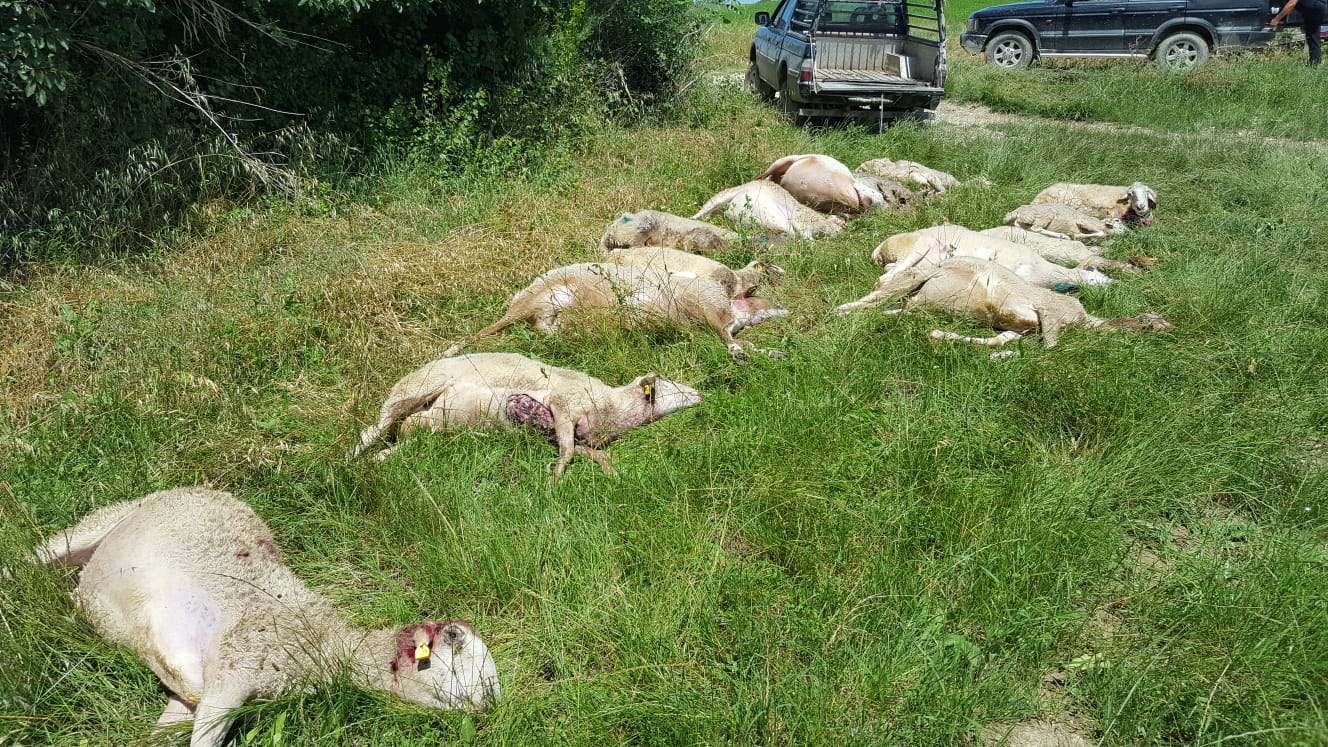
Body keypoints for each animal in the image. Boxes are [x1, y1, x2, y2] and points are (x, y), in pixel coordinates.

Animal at [36, 487, 499, 747]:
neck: (324, 644)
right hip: (100, 523)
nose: (455, 629)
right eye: (460, 648)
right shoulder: (237, 666)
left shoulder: (194, 695)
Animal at [351, 352, 703, 475]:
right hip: (412, 391)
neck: (612, 406)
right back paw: (346, 464)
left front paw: (612, 473)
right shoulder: (563, 406)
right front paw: (556, 478)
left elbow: (591, 453)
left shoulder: (564, 430)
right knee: (370, 431)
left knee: (397, 442)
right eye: (668, 382)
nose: (700, 394)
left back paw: (374, 463)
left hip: (422, 426)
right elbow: (568, 452)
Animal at [444, 263, 789, 362]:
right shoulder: (700, 305)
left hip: (556, 313)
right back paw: (451, 350)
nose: (786, 309)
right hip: (541, 297)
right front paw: (747, 353)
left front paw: (771, 352)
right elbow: (727, 340)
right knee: (484, 331)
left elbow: (739, 341)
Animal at [833, 256, 1172, 348]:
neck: (1084, 320)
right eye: (1155, 322)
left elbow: (1001, 338)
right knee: (875, 297)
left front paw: (939, 334)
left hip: (913, 299)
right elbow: (1050, 344)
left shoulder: (1023, 329)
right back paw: (838, 312)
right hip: (920, 274)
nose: (1171, 329)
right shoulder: (1051, 313)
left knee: (895, 309)